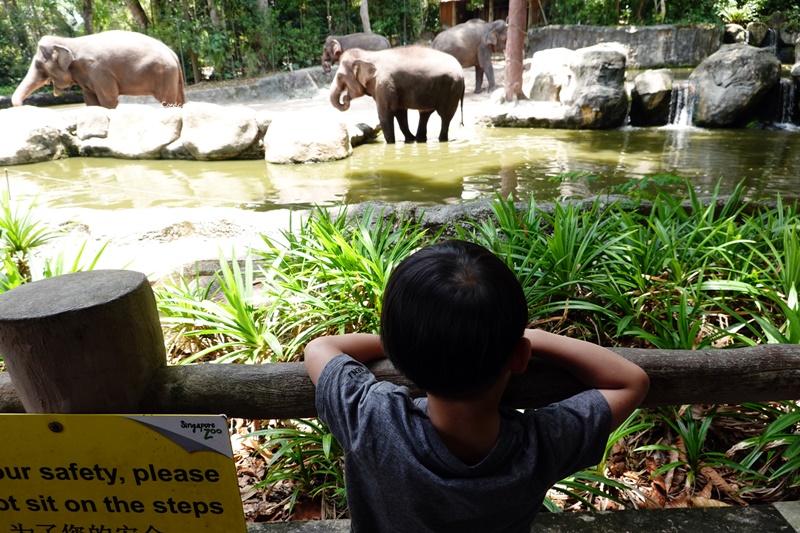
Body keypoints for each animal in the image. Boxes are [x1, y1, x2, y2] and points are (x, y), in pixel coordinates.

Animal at [12, 30, 186, 109]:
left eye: (39, 65)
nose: (23, 105)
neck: (69, 41)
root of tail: (173, 53)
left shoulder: (99, 70)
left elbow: (108, 101)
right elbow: (91, 102)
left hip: (165, 73)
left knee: (168, 101)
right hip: (173, 76)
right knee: (178, 100)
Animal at [330, 46, 466, 144]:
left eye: (340, 77)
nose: (345, 98)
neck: (368, 54)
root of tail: (462, 72)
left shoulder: (384, 85)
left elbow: (386, 114)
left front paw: (391, 144)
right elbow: (400, 113)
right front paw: (409, 140)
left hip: (450, 91)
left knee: (445, 116)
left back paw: (441, 140)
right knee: (425, 114)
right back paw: (419, 139)